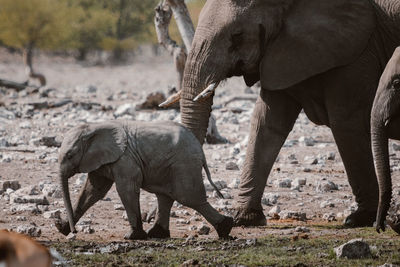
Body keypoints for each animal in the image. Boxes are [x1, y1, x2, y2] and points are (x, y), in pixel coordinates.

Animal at [54, 120, 233, 240]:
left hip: (184, 164)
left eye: (70, 155)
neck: (92, 127)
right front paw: (62, 229)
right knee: (166, 197)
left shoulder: (125, 159)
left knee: (189, 198)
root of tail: (201, 151)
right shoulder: (102, 160)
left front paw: (132, 236)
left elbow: (126, 189)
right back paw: (158, 234)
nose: (75, 232)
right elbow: (93, 191)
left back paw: (226, 227)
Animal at [167, 0, 400, 228]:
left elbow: (345, 123)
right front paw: (245, 219)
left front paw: (360, 218)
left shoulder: (356, 54)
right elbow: (266, 123)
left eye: (237, 36)